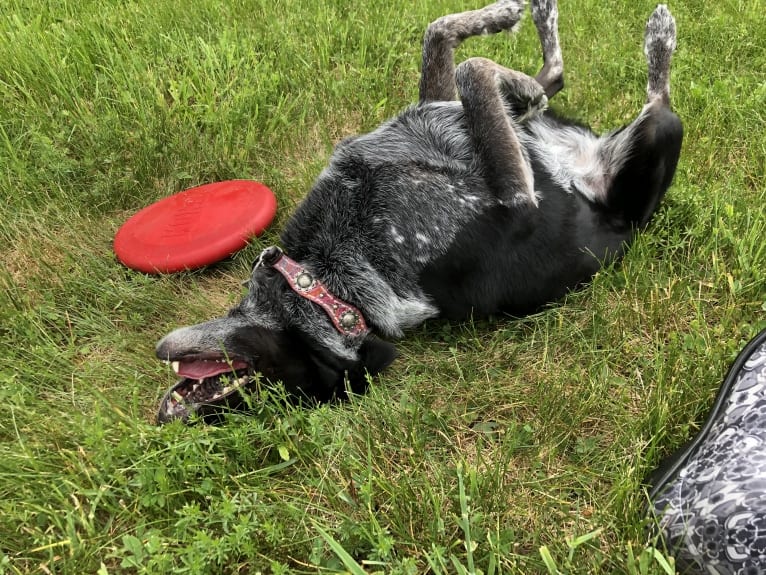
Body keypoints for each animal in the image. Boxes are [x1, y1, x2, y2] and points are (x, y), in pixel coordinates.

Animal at [154, 0, 684, 424]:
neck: (334, 282)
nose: (169, 413)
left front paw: (501, 18)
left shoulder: (438, 105)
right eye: (248, 397)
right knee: (656, 99)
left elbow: (440, 34)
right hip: (655, 139)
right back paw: (657, 35)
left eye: (232, 386)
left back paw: (542, 26)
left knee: (556, 78)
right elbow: (473, 67)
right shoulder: (518, 197)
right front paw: (516, 77)